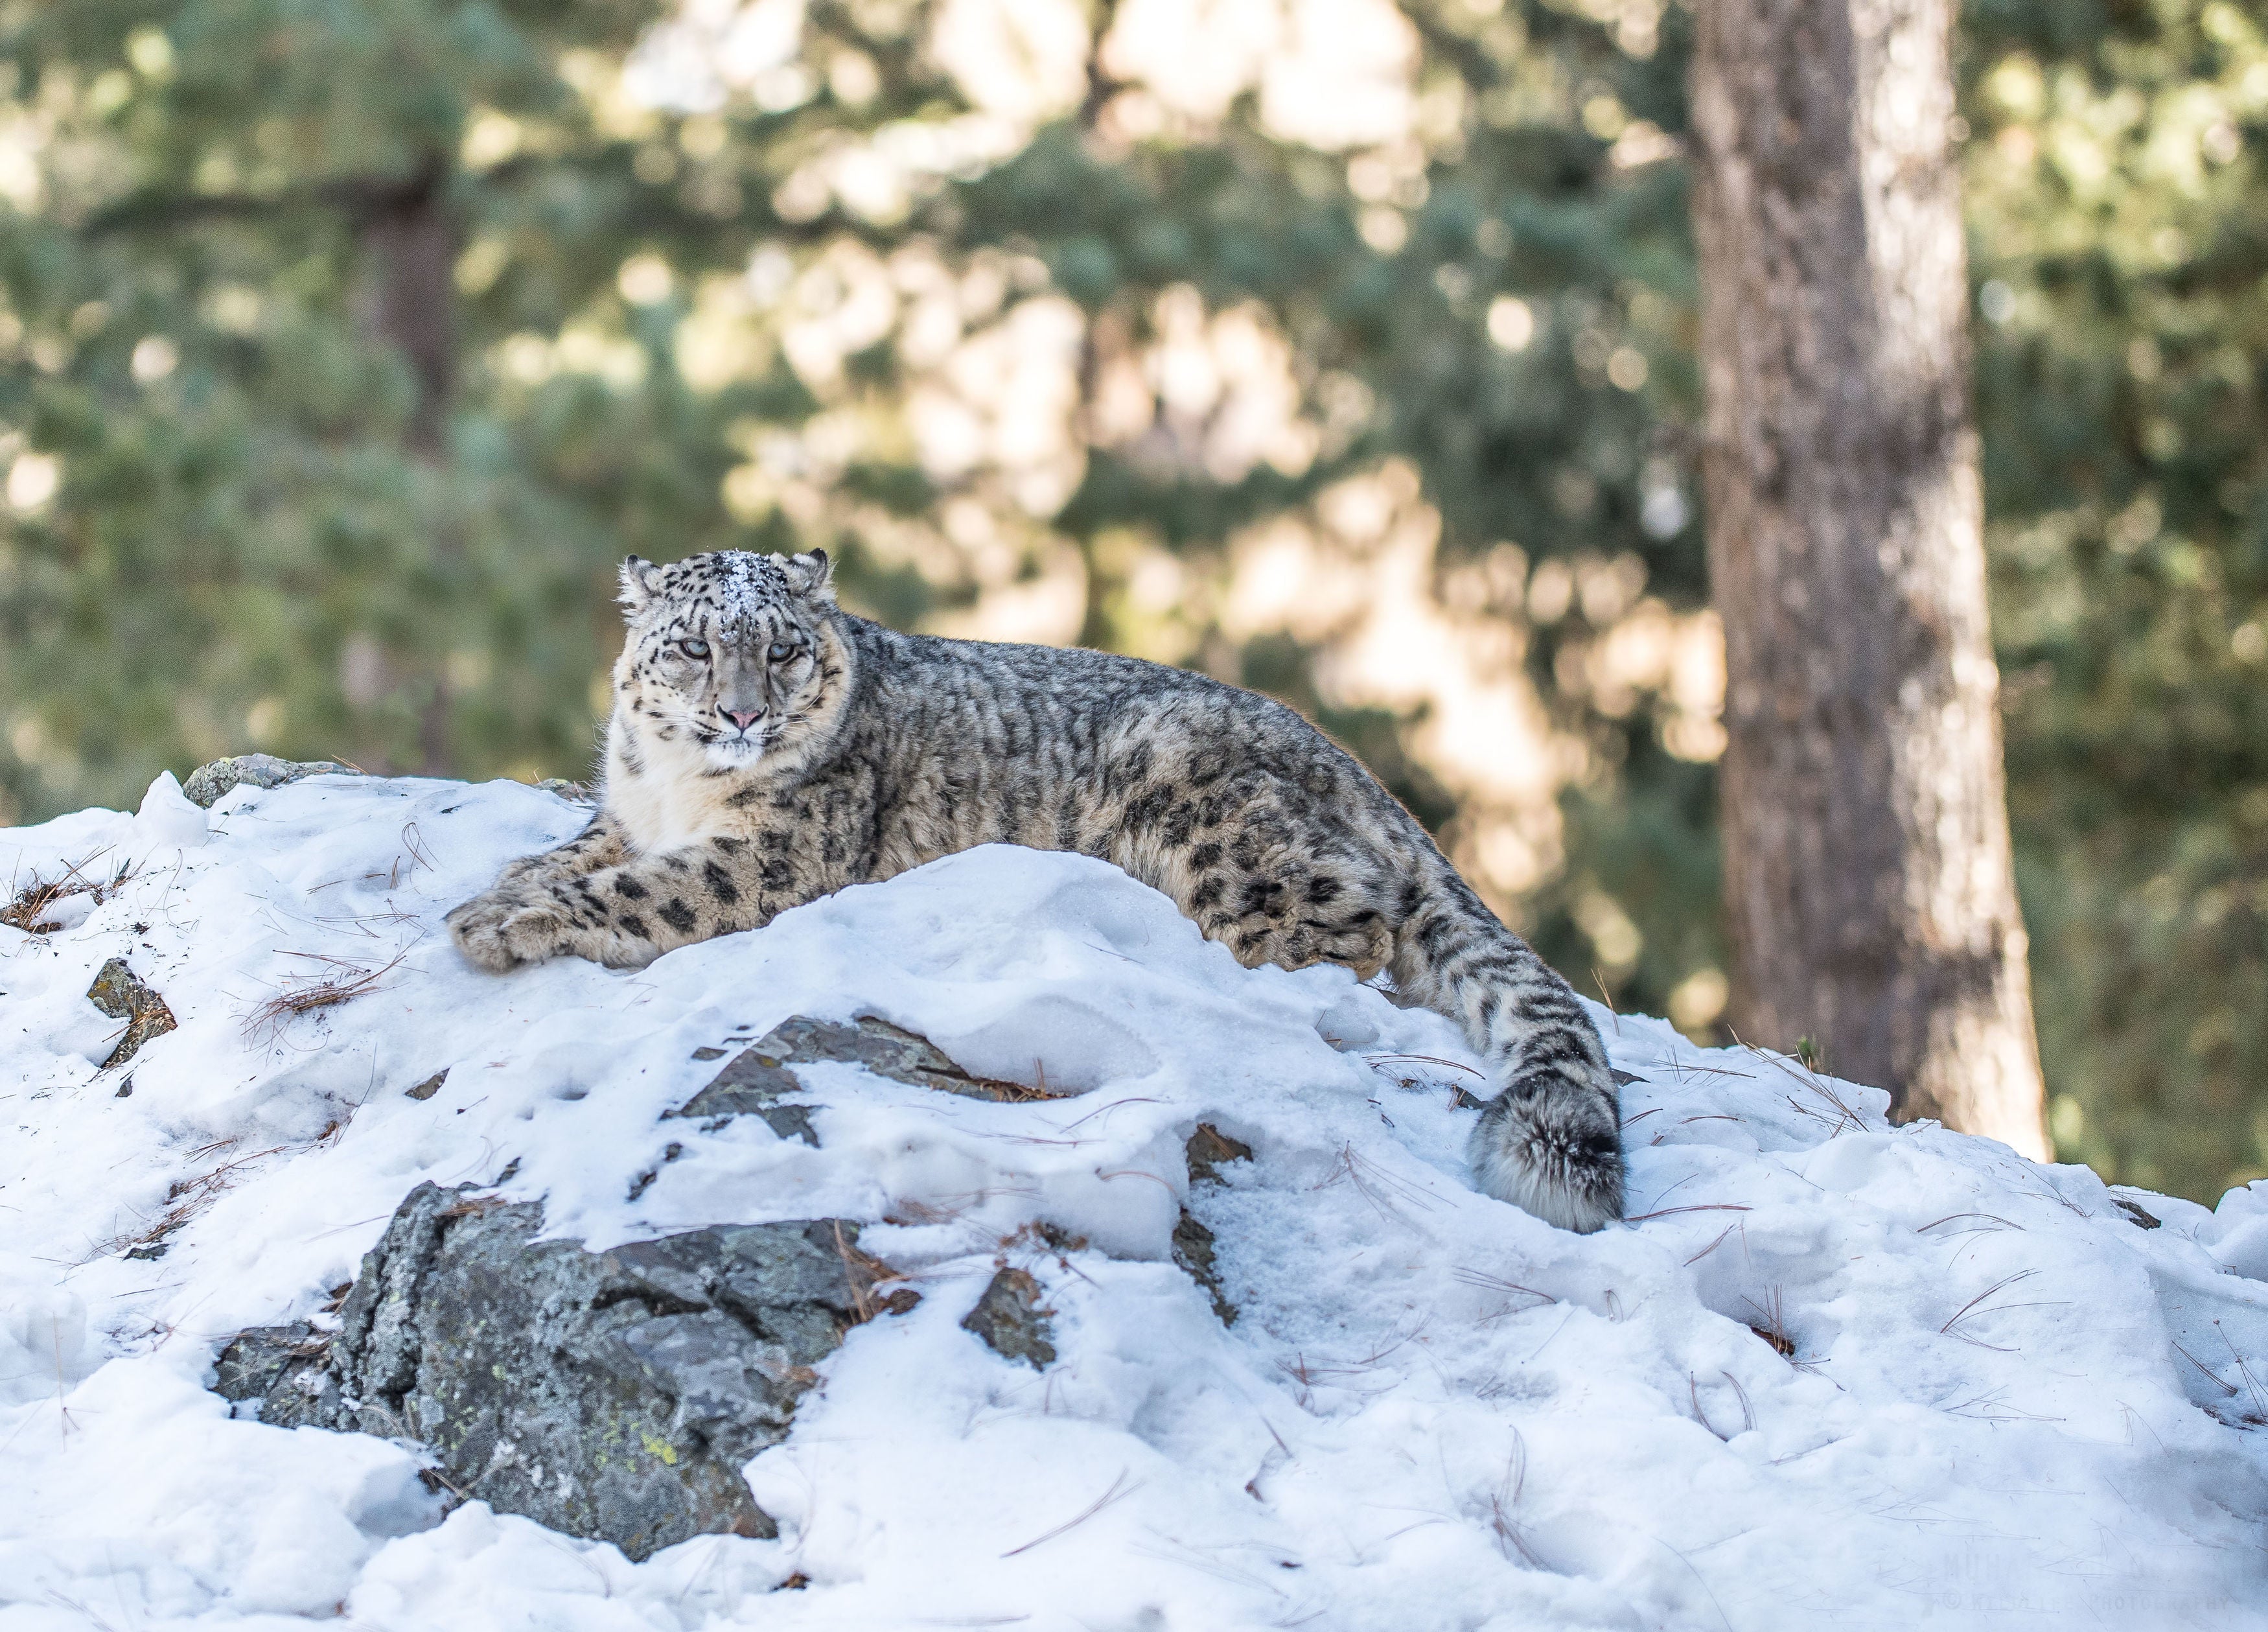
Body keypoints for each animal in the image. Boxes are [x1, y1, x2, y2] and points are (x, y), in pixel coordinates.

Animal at [442, 544, 1624, 1226]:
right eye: (693, 647)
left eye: (780, 651)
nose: (741, 712)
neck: (679, 786)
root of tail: (1345, 759)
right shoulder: (623, 815)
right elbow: (573, 853)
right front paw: (493, 889)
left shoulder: (771, 854)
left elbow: (642, 891)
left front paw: (499, 922)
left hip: (1214, 830)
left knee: (1357, 926)